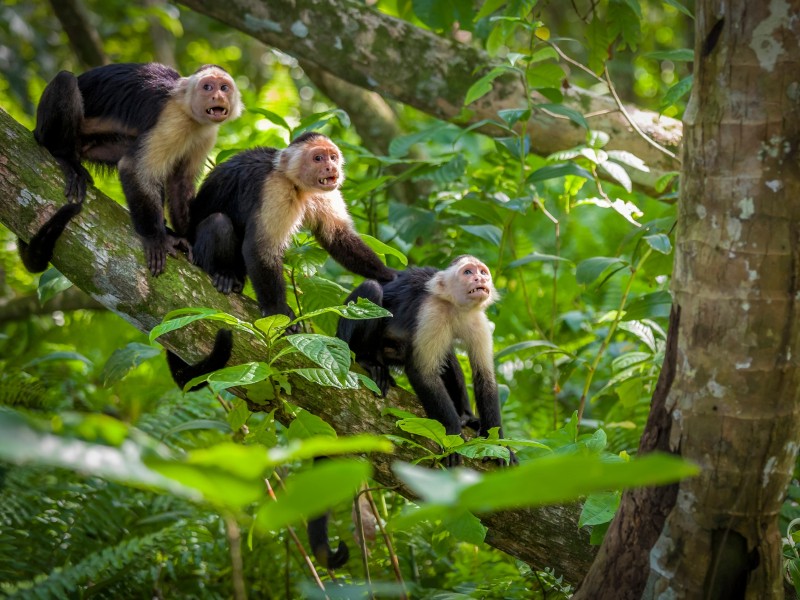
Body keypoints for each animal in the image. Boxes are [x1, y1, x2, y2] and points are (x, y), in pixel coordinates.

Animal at [19, 62, 243, 276]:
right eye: (207, 87)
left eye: (224, 88)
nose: (217, 96)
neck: (190, 114)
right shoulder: (173, 119)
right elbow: (134, 168)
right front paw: (156, 238)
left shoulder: (206, 134)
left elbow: (180, 181)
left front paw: (185, 235)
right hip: (49, 132)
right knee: (66, 80)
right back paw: (63, 156)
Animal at [186, 132, 396, 322]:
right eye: (318, 158)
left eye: (333, 157)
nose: (331, 167)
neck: (295, 181)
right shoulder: (276, 188)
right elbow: (261, 248)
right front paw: (276, 310)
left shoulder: (325, 192)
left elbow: (337, 235)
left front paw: (390, 275)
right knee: (218, 222)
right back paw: (224, 275)